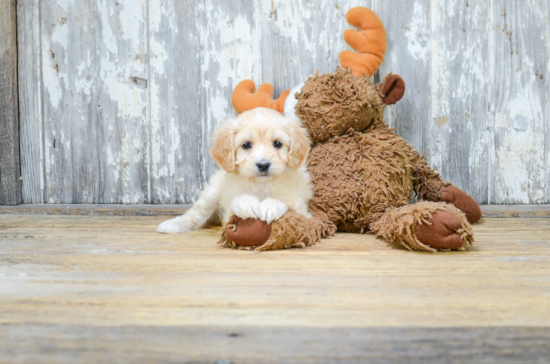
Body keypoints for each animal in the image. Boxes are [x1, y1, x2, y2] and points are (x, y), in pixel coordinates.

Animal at [158, 106, 314, 235]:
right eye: (246, 145)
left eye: (277, 143)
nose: (263, 165)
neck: (260, 184)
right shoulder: (228, 215)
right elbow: (236, 202)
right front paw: (246, 203)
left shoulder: (302, 209)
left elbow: (288, 201)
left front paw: (271, 204)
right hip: (212, 194)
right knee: (196, 214)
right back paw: (173, 224)